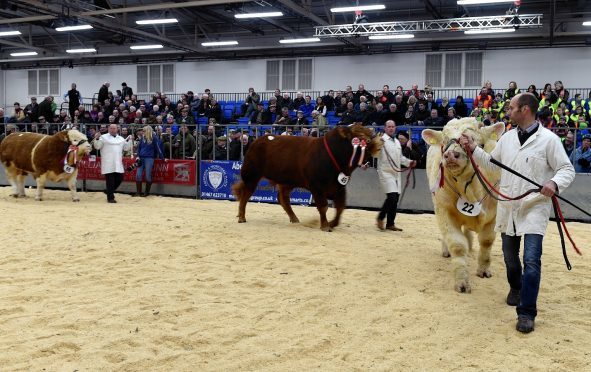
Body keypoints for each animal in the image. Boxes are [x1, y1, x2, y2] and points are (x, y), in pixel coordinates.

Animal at [424, 119, 506, 294]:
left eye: (473, 140)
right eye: (444, 140)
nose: (451, 155)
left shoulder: (494, 215)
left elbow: (487, 241)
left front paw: (483, 270)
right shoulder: (444, 210)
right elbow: (457, 245)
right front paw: (462, 282)